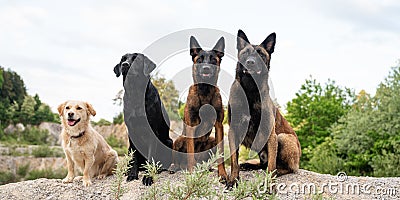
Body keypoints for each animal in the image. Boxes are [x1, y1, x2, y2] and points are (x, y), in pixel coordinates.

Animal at [114, 53, 173, 186]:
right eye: (123, 59)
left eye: (136, 59)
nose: (125, 65)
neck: (136, 94)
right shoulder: (131, 132)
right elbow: (134, 158)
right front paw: (132, 174)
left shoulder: (152, 131)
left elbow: (151, 157)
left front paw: (148, 177)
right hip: (129, 148)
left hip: (169, 142)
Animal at [171, 35, 228, 181]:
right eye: (200, 59)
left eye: (213, 59)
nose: (206, 68)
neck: (205, 91)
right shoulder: (191, 125)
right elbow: (190, 152)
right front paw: (191, 174)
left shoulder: (219, 125)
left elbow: (221, 155)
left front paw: (223, 174)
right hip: (179, 140)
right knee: (179, 159)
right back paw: (175, 167)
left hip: (212, 141)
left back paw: (207, 167)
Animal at [228, 29, 300, 188]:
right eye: (245, 53)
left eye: (260, 54)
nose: (250, 62)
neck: (250, 90)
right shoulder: (233, 131)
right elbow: (234, 160)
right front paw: (233, 180)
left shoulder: (270, 134)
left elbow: (272, 165)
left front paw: (270, 184)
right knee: (263, 164)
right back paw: (249, 165)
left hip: (283, 137)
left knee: (284, 168)